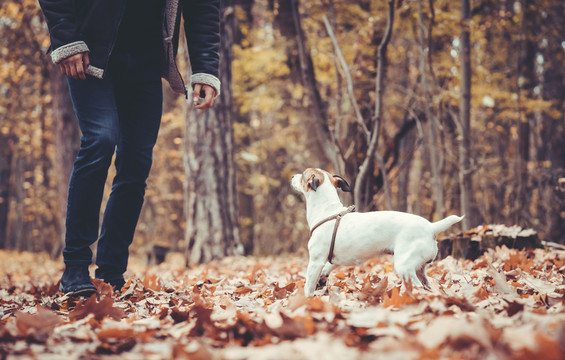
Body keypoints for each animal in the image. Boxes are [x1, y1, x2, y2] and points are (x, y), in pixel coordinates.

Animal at [290, 167, 462, 296]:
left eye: (302, 175)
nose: (292, 176)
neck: (328, 211)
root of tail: (431, 227)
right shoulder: (334, 260)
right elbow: (326, 269)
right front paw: (323, 278)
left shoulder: (315, 261)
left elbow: (308, 286)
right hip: (420, 268)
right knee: (426, 284)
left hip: (404, 266)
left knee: (417, 286)